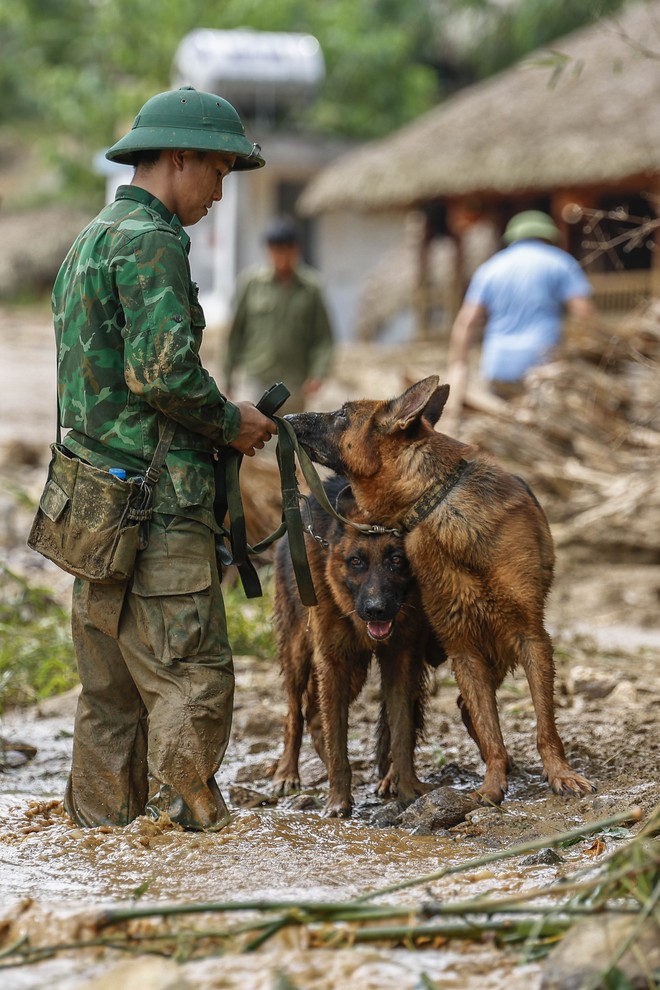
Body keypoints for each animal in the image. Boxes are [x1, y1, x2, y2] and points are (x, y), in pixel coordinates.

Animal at [270, 476, 446, 816]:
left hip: (355, 672)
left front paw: (406, 788)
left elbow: (401, 732)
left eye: (396, 560)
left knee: (314, 715)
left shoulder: (400, 662)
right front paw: (338, 800)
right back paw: (287, 773)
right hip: (301, 653)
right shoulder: (333, 662)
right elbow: (338, 742)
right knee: (294, 714)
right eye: (356, 562)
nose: (376, 610)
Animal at [286, 378, 596, 808]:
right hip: (321, 652)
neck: (436, 501)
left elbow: (544, 724)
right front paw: (492, 786)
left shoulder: (530, 637)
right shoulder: (463, 646)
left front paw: (560, 774)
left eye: (343, 413)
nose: (287, 416)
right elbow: (488, 726)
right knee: (302, 711)